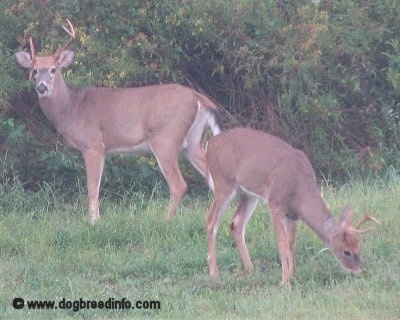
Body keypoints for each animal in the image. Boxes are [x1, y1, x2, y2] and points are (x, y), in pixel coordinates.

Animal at [15, 18, 222, 221]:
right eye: (34, 70)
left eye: (53, 69)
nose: (42, 88)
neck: (72, 108)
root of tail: (198, 96)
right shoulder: (103, 149)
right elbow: (98, 186)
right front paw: (97, 219)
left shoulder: (92, 144)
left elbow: (91, 187)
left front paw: (93, 222)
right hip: (192, 141)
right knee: (212, 178)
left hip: (166, 139)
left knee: (179, 185)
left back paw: (165, 220)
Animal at [206, 127, 378, 284]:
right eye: (346, 251)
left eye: (359, 247)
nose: (359, 271)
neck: (300, 191)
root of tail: (210, 143)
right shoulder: (274, 204)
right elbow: (282, 244)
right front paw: (284, 282)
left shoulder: (293, 214)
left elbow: (291, 243)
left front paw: (292, 273)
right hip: (223, 183)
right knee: (211, 223)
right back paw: (214, 275)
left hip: (248, 194)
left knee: (236, 224)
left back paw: (251, 269)